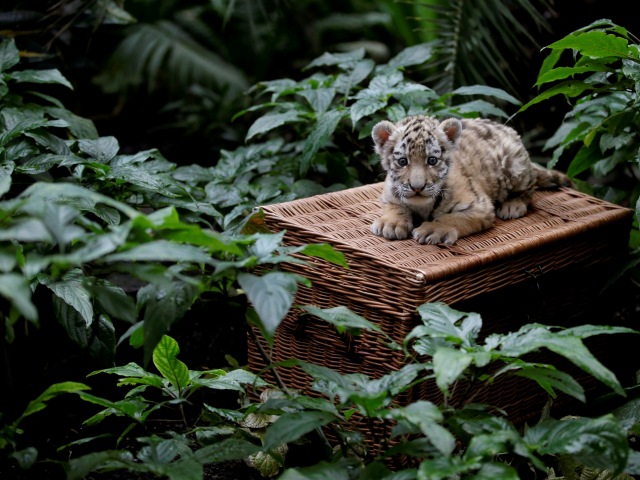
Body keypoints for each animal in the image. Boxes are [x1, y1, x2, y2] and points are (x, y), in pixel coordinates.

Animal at [370, 115, 572, 245]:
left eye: (432, 160)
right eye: (403, 161)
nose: (417, 187)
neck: (422, 206)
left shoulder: (480, 206)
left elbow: (453, 218)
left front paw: (432, 230)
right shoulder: (389, 193)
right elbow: (395, 205)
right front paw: (391, 224)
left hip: (516, 166)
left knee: (529, 190)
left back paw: (512, 206)